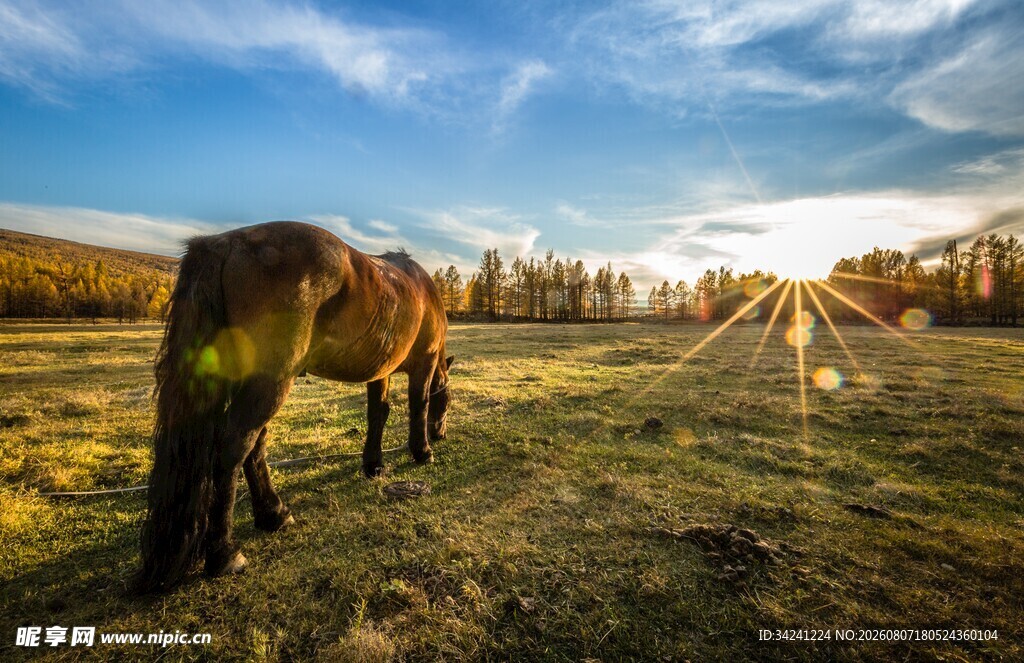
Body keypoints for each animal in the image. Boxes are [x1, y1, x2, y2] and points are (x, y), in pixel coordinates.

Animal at [132, 221, 453, 593]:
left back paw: (273, 514)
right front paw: (422, 451)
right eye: (448, 402)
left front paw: (374, 464)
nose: (441, 434)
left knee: (254, 446)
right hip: (271, 382)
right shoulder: (424, 363)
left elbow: (378, 414)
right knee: (235, 447)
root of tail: (225, 243)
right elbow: (419, 405)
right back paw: (224, 553)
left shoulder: (380, 369)